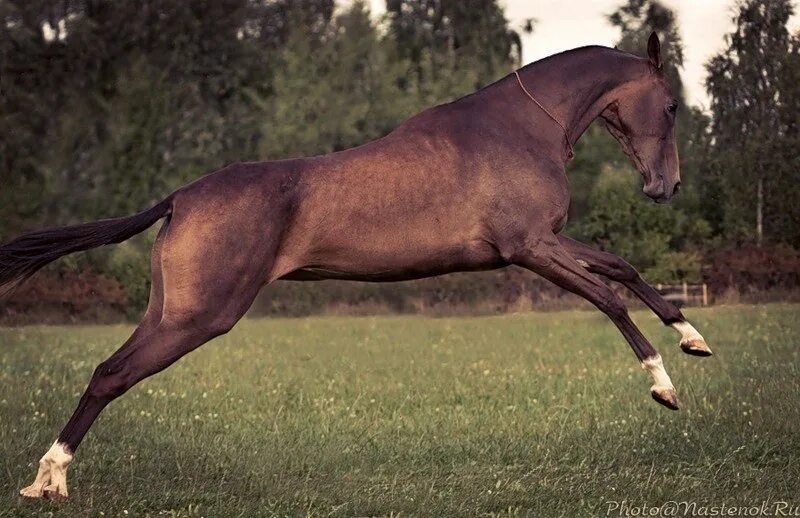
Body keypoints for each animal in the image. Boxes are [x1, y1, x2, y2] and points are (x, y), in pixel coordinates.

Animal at [1, 33, 712, 504]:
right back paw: (49, 478)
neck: (519, 129)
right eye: (673, 105)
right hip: (199, 317)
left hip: (171, 311)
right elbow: (608, 296)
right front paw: (664, 385)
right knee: (111, 375)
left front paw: (694, 338)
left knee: (107, 371)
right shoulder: (529, 247)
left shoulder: (547, 241)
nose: (667, 186)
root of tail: (179, 197)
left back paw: (44, 480)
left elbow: (623, 268)